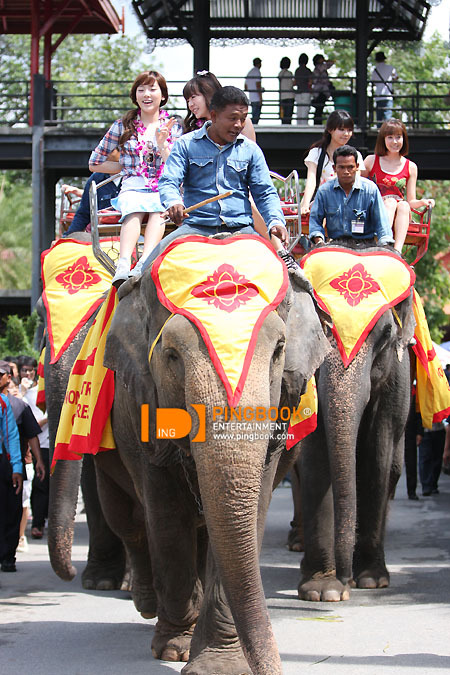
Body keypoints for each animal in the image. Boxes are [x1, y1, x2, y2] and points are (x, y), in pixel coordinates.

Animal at [48, 234, 330, 675]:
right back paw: (148, 605)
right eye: (172, 356)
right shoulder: (139, 402)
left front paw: (218, 663)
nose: (276, 666)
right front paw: (176, 650)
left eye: (279, 349)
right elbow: (166, 516)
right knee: (128, 519)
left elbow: (248, 511)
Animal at [296, 243, 414, 604]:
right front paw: (323, 592)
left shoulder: (396, 378)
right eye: (315, 326)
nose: (346, 580)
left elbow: (378, 453)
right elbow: (315, 453)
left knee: (392, 471)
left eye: (387, 335)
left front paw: (371, 581)